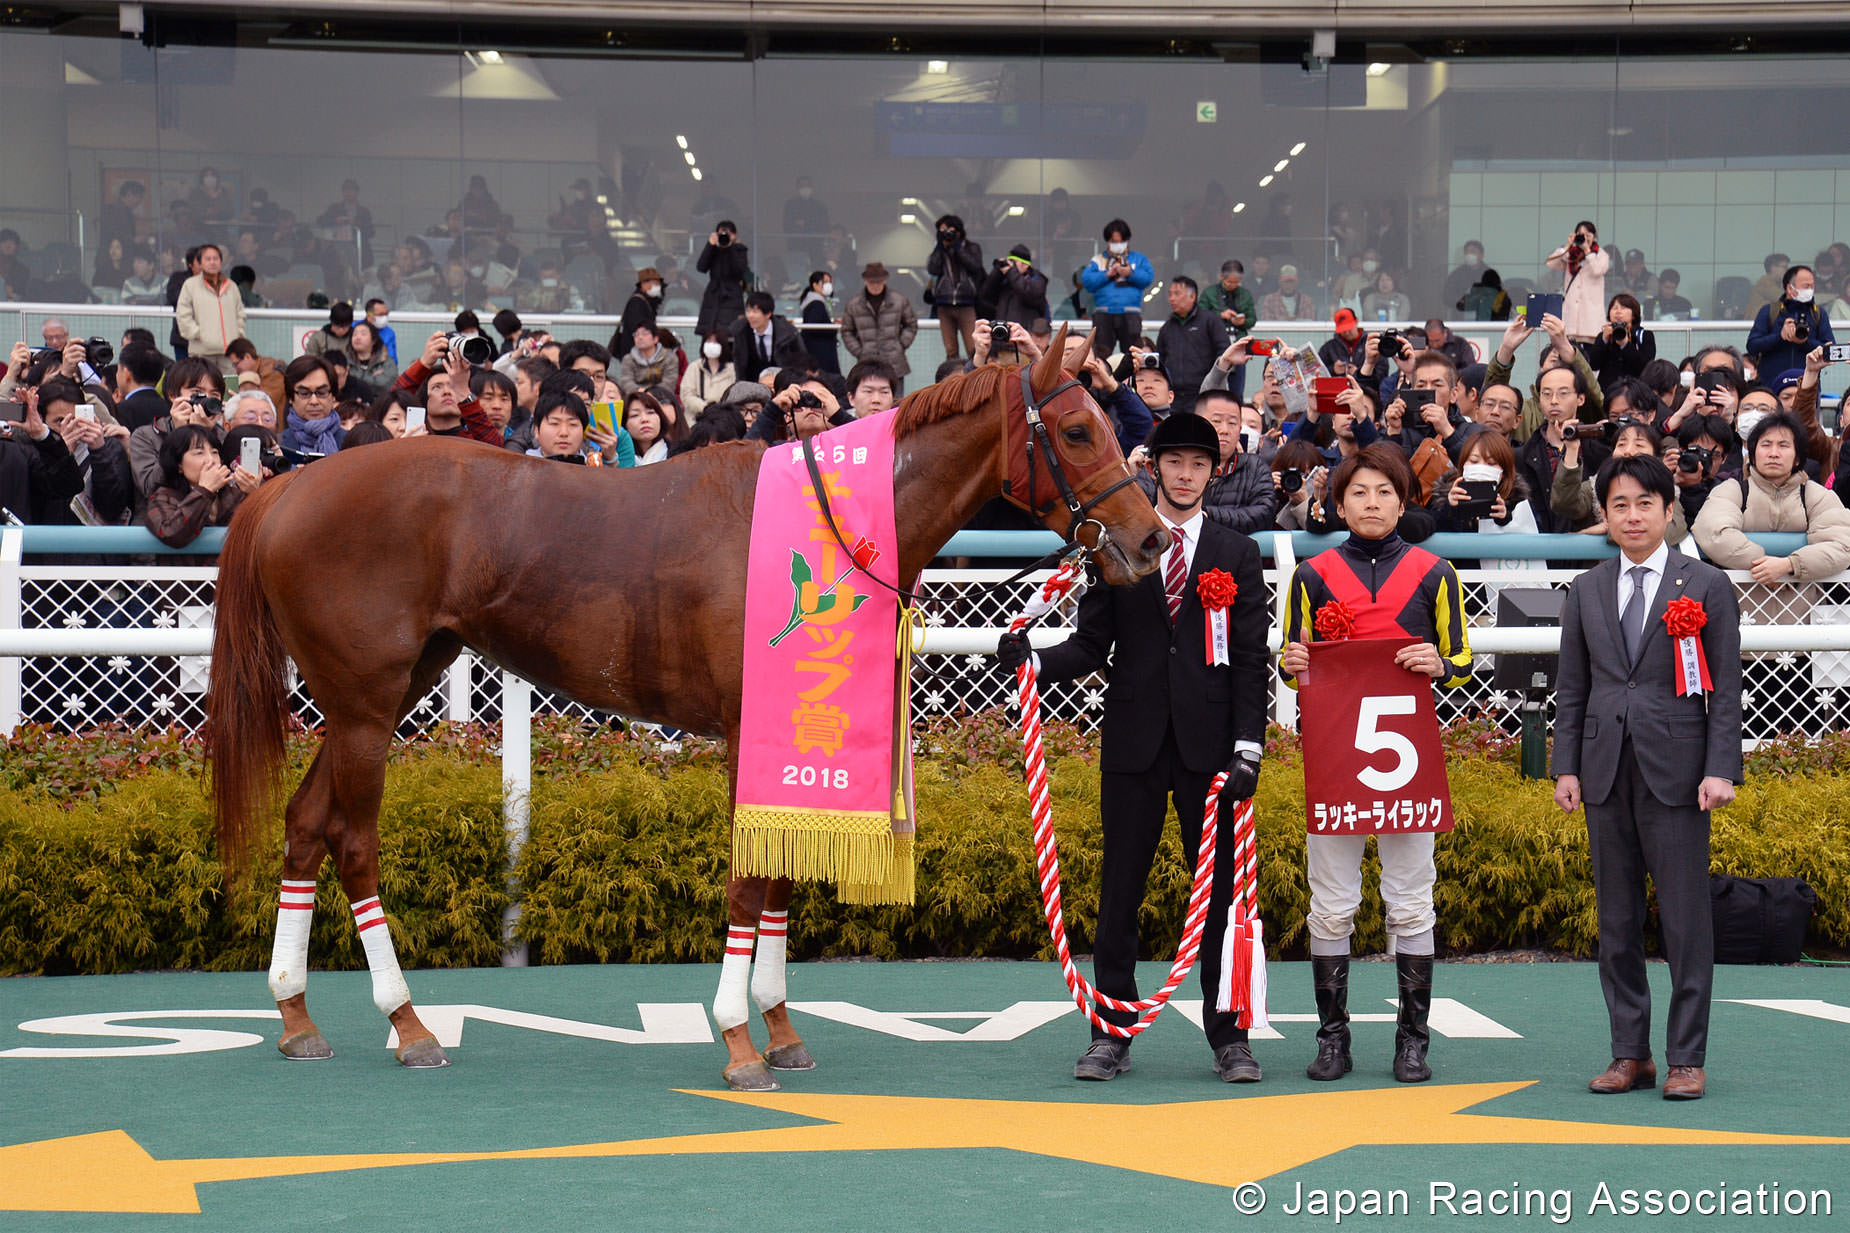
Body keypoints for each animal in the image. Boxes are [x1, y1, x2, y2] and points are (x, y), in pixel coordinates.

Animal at [202, 325, 1154, 1088]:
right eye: (1078, 429)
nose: (1148, 541)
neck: (827, 528)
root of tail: (285, 489)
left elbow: (778, 871)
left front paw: (780, 1028)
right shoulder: (744, 729)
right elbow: (748, 877)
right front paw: (737, 1039)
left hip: (373, 699)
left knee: (305, 822)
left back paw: (296, 1014)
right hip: (367, 709)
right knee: (353, 843)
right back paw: (408, 1024)